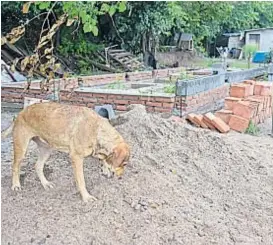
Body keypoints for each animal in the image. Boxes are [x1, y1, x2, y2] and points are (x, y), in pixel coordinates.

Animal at [1, 102, 130, 202]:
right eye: (123, 164)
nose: (120, 178)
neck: (96, 130)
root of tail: (20, 113)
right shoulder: (76, 158)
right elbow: (81, 181)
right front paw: (86, 197)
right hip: (21, 148)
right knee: (15, 166)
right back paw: (16, 185)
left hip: (46, 149)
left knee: (38, 166)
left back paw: (45, 183)